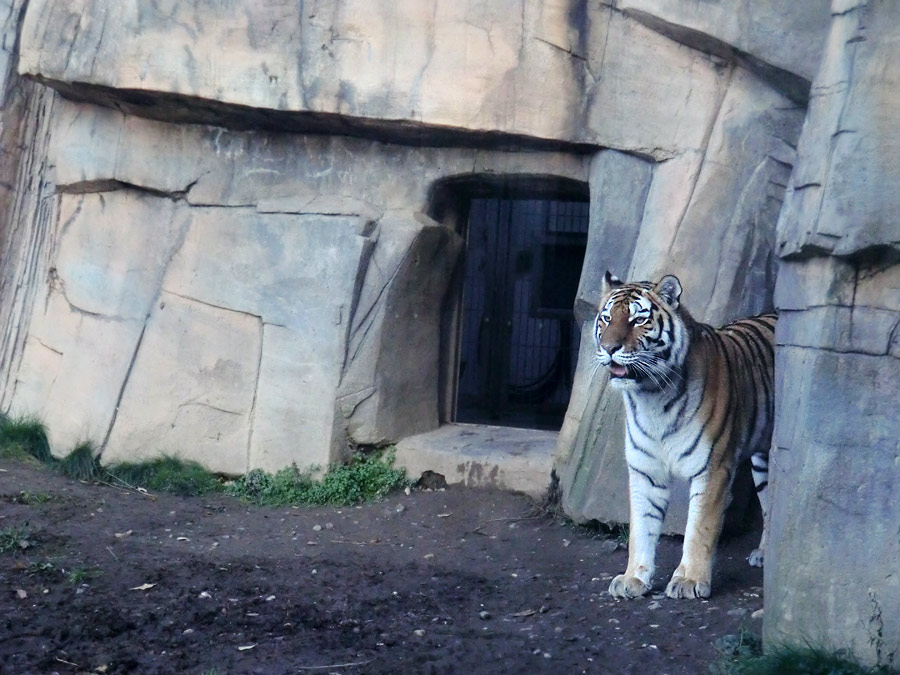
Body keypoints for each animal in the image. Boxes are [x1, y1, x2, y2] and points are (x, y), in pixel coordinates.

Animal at [596, 272, 776, 600]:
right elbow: (641, 528)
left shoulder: (713, 469)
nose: (609, 348)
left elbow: (699, 529)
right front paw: (633, 579)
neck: (650, 397)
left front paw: (690, 580)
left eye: (637, 320)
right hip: (762, 461)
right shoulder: (645, 470)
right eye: (606, 319)